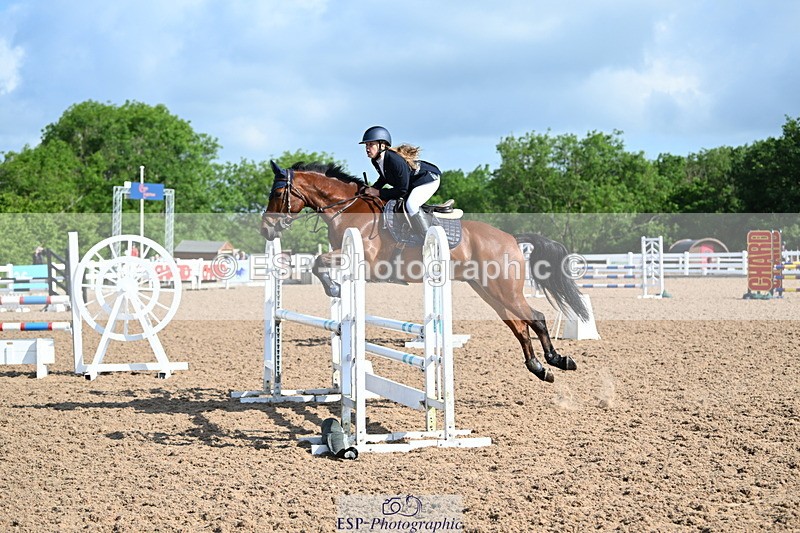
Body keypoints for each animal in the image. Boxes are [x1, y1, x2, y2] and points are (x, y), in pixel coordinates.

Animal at [260, 161, 590, 383]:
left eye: (277, 192)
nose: (266, 229)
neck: (348, 208)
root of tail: (510, 238)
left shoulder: (364, 260)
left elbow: (318, 262)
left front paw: (334, 289)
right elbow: (318, 263)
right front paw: (335, 288)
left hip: (504, 290)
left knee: (536, 317)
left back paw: (558, 360)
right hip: (489, 291)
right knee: (519, 326)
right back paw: (539, 368)